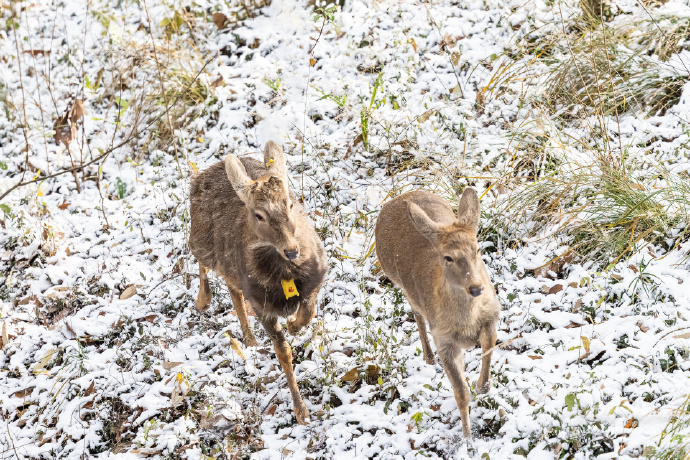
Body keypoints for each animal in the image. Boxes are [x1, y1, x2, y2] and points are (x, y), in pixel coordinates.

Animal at [188, 140, 328, 424]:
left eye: (290, 204)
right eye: (259, 215)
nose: (291, 250)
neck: (285, 278)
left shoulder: (316, 280)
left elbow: (308, 313)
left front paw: (294, 324)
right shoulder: (262, 306)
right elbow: (283, 352)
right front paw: (301, 412)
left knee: (232, 287)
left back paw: (250, 340)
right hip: (201, 240)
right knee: (196, 254)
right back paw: (204, 301)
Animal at [374, 188, 498, 438]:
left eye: (477, 249)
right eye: (448, 257)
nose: (476, 288)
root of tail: (399, 197)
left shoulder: (492, 313)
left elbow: (488, 350)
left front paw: (482, 386)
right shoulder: (443, 339)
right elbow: (460, 393)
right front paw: (467, 439)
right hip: (396, 278)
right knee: (416, 312)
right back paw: (429, 357)